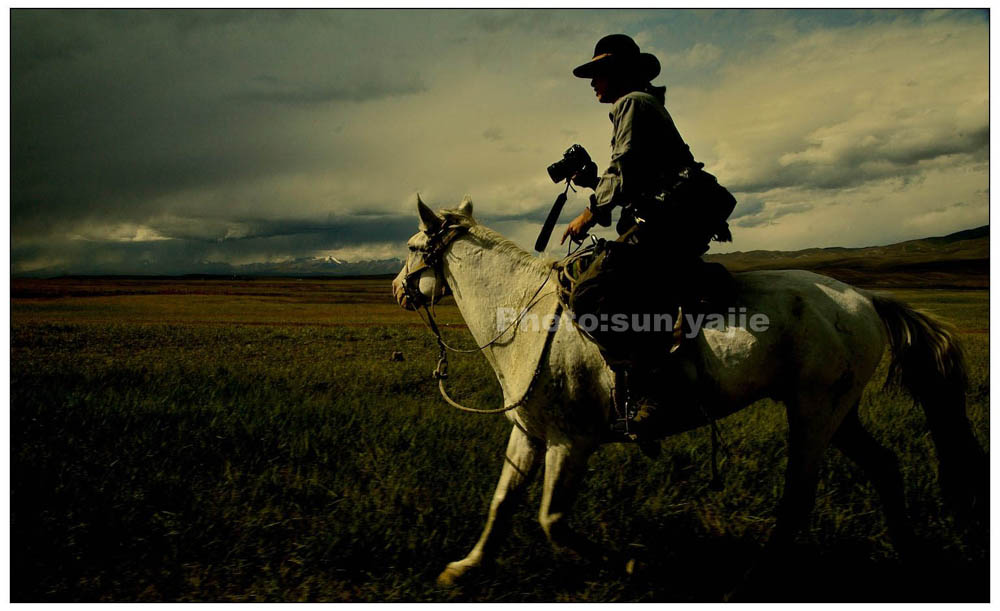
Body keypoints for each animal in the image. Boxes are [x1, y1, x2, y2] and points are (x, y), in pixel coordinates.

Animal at [388, 198, 984, 592]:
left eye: (414, 246)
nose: (396, 289)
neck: (526, 318)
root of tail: (864, 298)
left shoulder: (570, 443)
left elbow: (551, 520)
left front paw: (631, 566)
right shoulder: (530, 434)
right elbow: (502, 504)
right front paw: (465, 568)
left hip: (814, 414)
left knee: (799, 497)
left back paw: (755, 576)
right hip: (840, 413)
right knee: (884, 466)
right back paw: (910, 557)